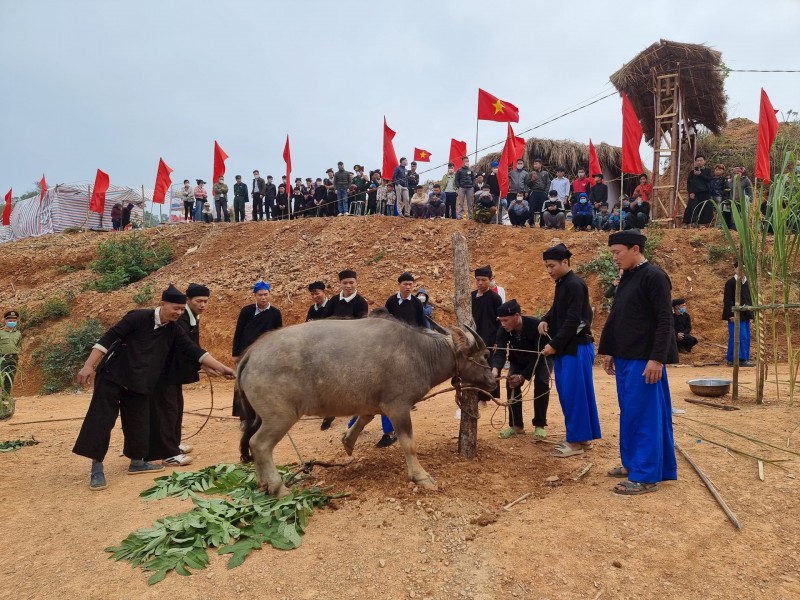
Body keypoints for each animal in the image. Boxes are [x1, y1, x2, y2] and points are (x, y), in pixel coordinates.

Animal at [236, 316, 494, 500]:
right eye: (484, 355)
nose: (492, 381)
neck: (420, 352)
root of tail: (252, 353)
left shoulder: (375, 402)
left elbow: (365, 417)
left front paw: (348, 441)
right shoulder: (398, 406)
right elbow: (409, 444)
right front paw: (421, 476)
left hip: (263, 417)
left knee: (253, 444)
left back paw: (263, 483)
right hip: (280, 417)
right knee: (259, 445)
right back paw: (278, 488)